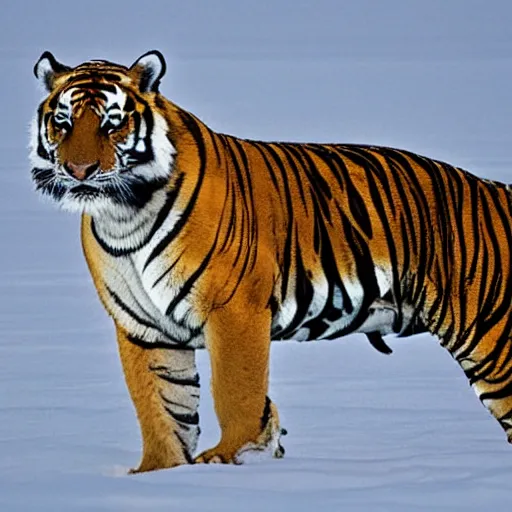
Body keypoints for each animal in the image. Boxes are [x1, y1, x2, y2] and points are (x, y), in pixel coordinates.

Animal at [31, 49, 512, 472]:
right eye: (63, 122)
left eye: (112, 124)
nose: (79, 171)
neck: (125, 215)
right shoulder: (144, 328)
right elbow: (161, 410)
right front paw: (161, 473)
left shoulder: (233, 310)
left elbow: (236, 392)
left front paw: (234, 458)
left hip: (492, 340)